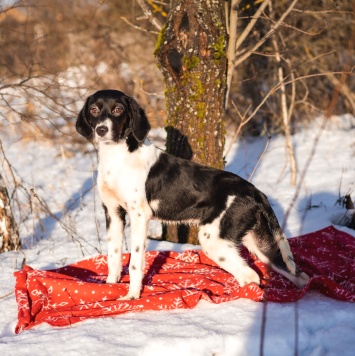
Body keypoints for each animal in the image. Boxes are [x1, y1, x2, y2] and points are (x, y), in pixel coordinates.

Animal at [76, 89, 310, 300]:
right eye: (94, 109)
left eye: (118, 109)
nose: (102, 130)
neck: (118, 156)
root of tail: (255, 190)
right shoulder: (113, 212)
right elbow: (113, 256)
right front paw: (110, 287)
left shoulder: (139, 215)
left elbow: (134, 263)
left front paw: (131, 297)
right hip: (257, 243)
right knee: (297, 273)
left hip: (213, 239)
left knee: (251, 276)